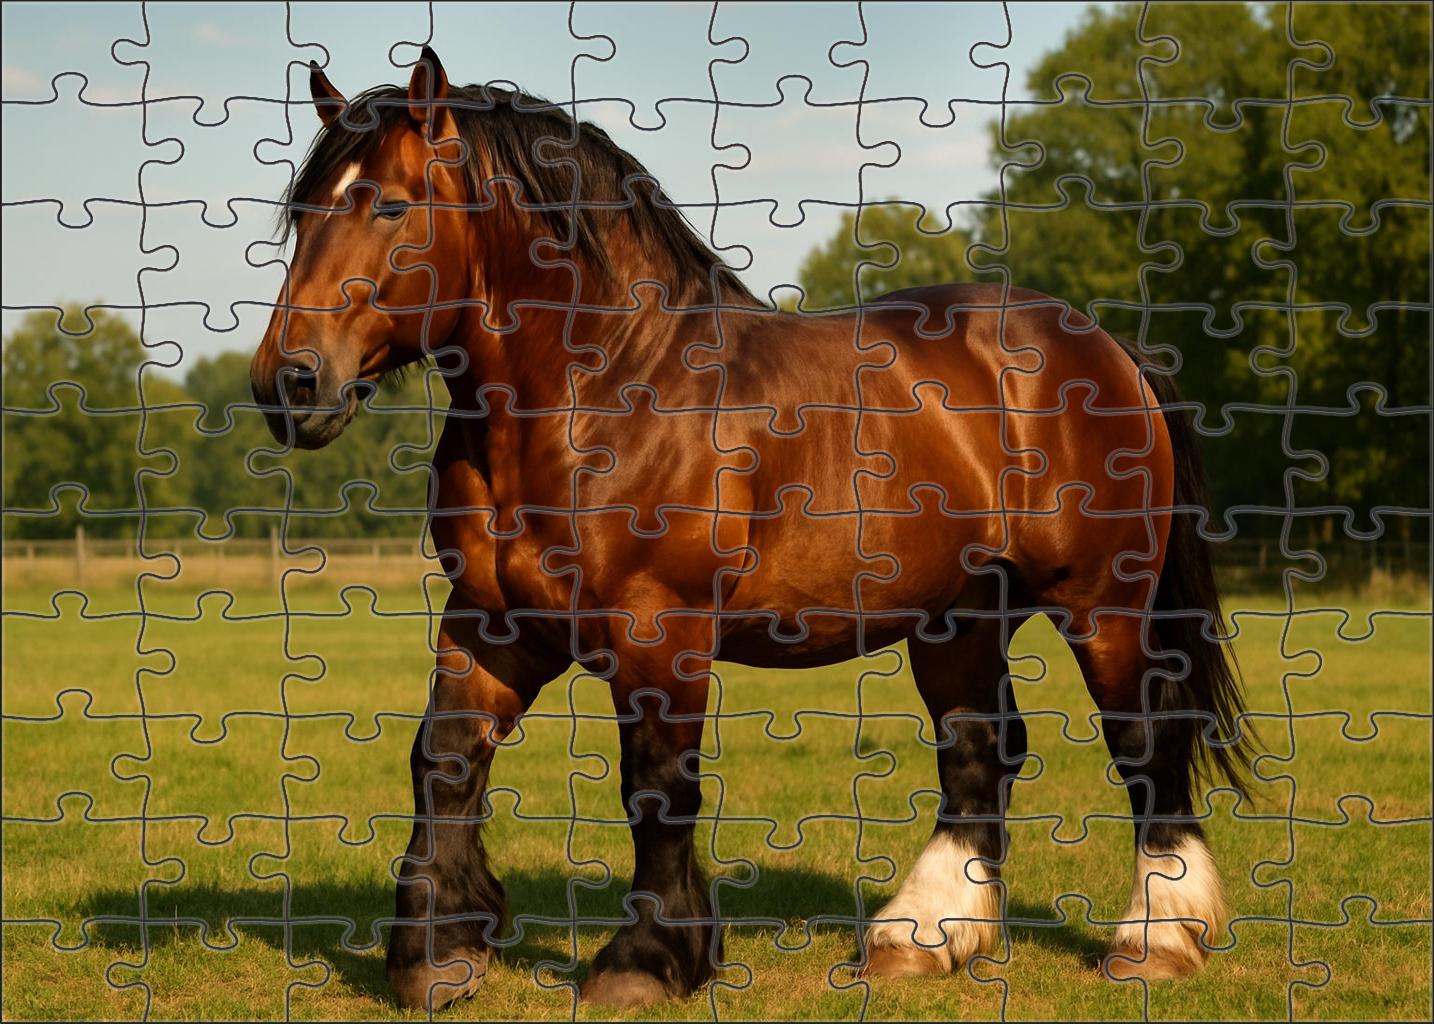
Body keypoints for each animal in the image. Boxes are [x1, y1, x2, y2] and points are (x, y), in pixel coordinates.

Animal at [249, 48, 1252, 1012]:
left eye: (390, 203)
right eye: (303, 213)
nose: (289, 382)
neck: (601, 392)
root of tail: (1107, 348)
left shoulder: (659, 633)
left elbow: (656, 788)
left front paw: (646, 963)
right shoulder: (494, 624)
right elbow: (445, 759)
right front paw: (438, 954)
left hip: (1103, 608)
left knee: (1146, 739)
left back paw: (1158, 941)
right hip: (961, 617)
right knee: (980, 749)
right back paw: (921, 938)